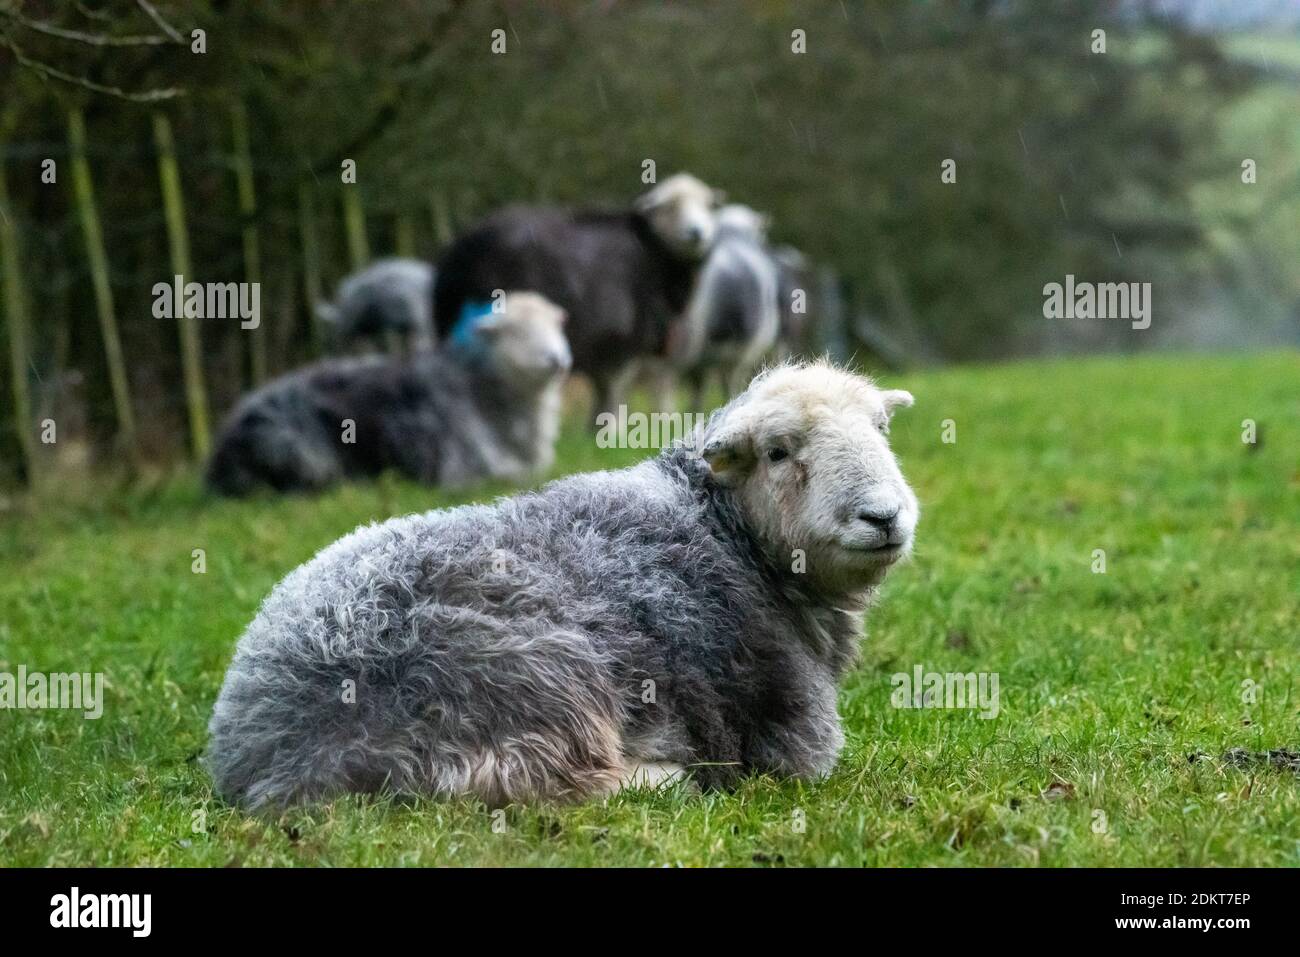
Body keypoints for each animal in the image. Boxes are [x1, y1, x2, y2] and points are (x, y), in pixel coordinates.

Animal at [204, 289, 569, 496]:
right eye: (515, 332)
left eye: (555, 326)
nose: (558, 360)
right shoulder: (464, 467)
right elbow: (514, 477)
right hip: (296, 449)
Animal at [208, 358, 920, 806]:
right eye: (777, 452)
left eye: (881, 430)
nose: (884, 516)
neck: (727, 531)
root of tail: (267, 750)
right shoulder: (792, 730)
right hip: (536, 671)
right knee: (556, 785)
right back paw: (669, 777)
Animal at [434, 172, 722, 418]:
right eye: (670, 207)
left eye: (707, 206)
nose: (697, 232)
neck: (653, 250)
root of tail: (464, 249)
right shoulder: (624, 341)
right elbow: (613, 390)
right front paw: (610, 430)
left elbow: (603, 389)